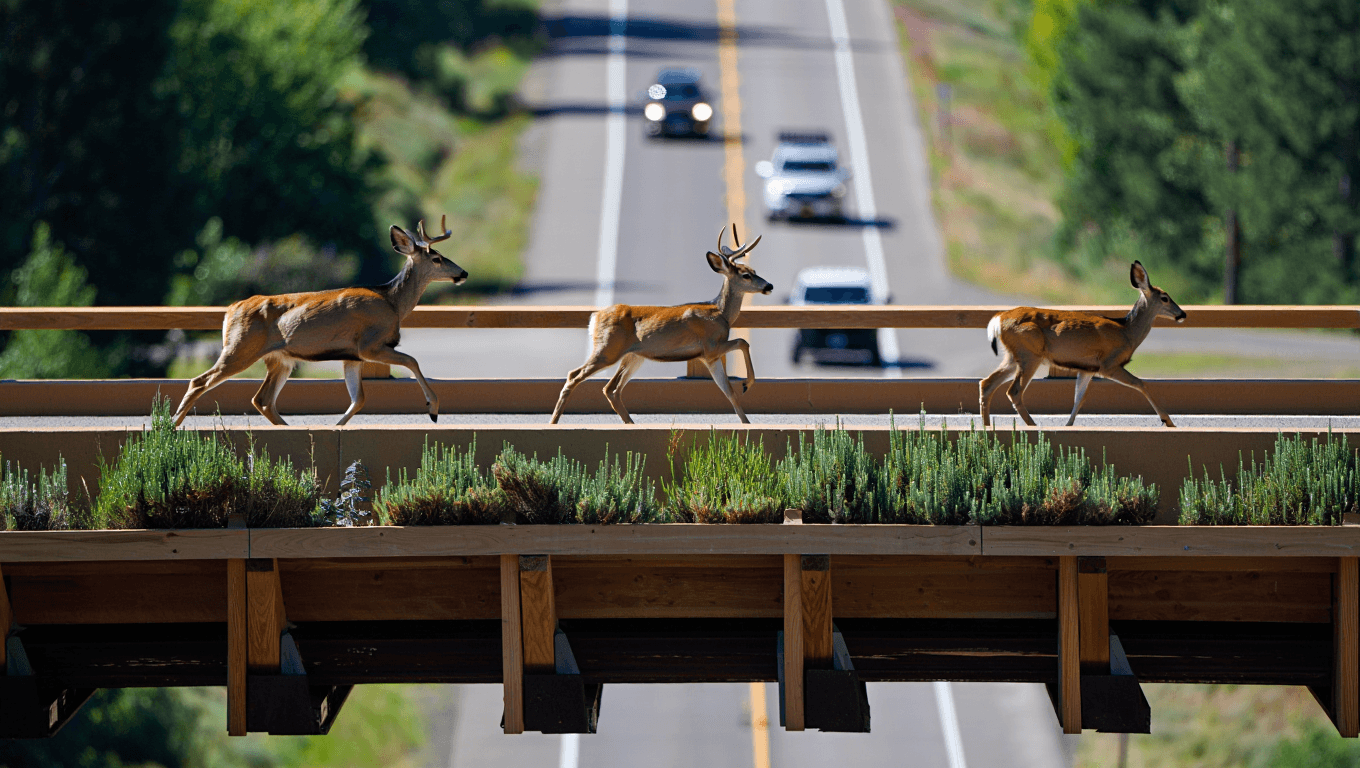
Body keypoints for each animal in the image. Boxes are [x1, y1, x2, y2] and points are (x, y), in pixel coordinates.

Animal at [172, 216, 468, 428]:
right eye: (436, 258)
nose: (463, 273)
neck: (392, 302)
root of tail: (230, 310)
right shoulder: (370, 345)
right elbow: (412, 361)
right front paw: (433, 409)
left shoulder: (352, 356)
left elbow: (359, 399)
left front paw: (337, 425)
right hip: (239, 347)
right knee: (199, 382)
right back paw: (170, 426)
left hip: (279, 359)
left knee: (262, 400)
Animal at [549, 224, 771, 424]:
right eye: (746, 275)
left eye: (754, 269)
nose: (769, 285)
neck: (721, 313)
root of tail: (595, 317)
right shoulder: (710, 347)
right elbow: (743, 342)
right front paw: (747, 383)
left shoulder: (710, 357)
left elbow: (729, 392)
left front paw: (746, 422)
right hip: (607, 349)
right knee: (574, 376)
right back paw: (553, 422)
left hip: (633, 356)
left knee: (611, 389)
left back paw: (630, 424)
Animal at [979, 260, 1186, 428]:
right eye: (1165, 298)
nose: (1182, 314)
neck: (1127, 332)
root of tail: (998, 319)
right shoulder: (1109, 364)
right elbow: (1140, 383)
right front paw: (1168, 420)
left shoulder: (1088, 368)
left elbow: (1079, 398)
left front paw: (1068, 425)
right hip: (1029, 353)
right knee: (1013, 391)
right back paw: (1033, 425)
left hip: (1013, 356)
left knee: (986, 383)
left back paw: (987, 427)